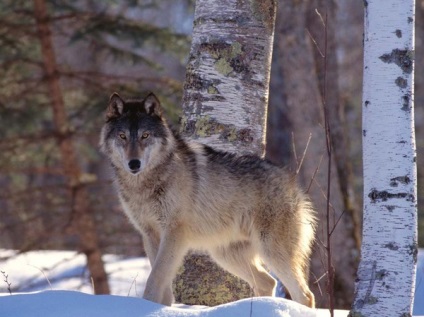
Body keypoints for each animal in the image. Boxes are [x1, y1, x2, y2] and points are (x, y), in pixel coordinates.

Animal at [99, 91, 316, 306]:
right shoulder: (150, 235)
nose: (134, 164)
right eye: (122, 136)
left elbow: (155, 277)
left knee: (305, 295)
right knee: (268, 282)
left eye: (145, 135)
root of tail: (293, 184)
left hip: (270, 251)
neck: (145, 185)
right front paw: (161, 308)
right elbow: (162, 281)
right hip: (225, 256)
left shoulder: (174, 233)